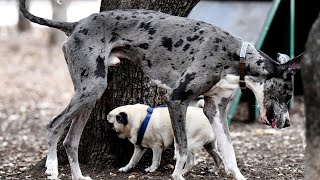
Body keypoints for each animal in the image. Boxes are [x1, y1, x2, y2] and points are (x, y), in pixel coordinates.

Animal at [19, 0, 300, 179]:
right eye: (287, 95)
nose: (287, 123)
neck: (236, 56)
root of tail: (75, 23)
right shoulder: (176, 99)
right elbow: (183, 148)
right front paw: (178, 175)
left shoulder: (216, 111)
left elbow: (229, 152)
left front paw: (238, 176)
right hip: (91, 88)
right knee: (54, 125)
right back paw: (52, 168)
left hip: (92, 93)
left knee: (71, 140)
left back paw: (78, 176)